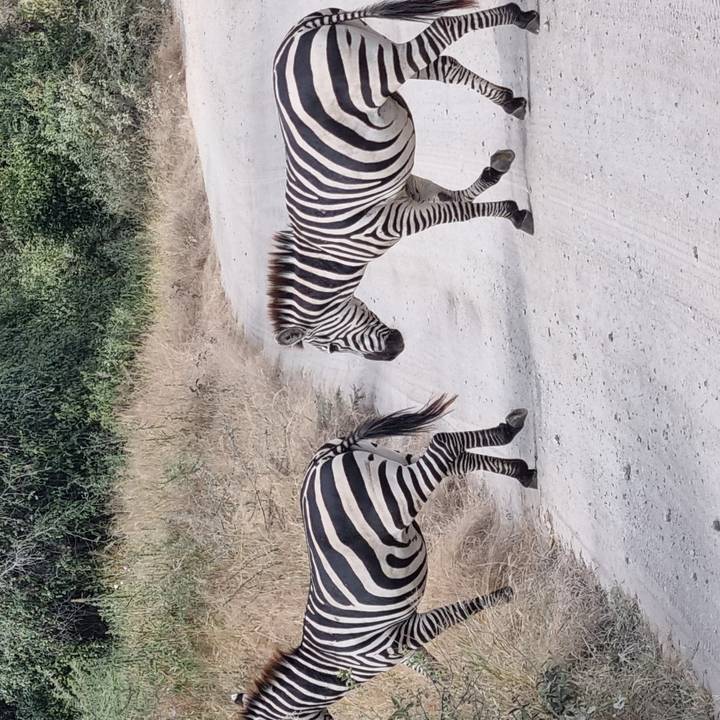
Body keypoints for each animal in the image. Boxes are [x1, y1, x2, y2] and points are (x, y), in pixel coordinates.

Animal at [232, 395, 536, 718]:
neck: (329, 670)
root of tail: (321, 460)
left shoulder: (396, 639)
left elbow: (455, 613)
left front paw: (508, 594)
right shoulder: (402, 644)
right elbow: (430, 668)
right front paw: (459, 691)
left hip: (396, 498)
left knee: (443, 445)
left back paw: (509, 430)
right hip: (392, 460)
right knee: (455, 460)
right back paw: (522, 471)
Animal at [269, 1, 539, 361]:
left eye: (332, 349)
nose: (396, 350)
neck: (334, 254)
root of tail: (297, 34)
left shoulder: (395, 221)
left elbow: (459, 212)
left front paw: (515, 213)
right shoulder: (408, 191)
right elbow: (453, 198)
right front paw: (494, 172)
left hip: (378, 73)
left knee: (441, 31)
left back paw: (520, 17)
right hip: (375, 46)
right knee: (445, 65)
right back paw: (510, 100)